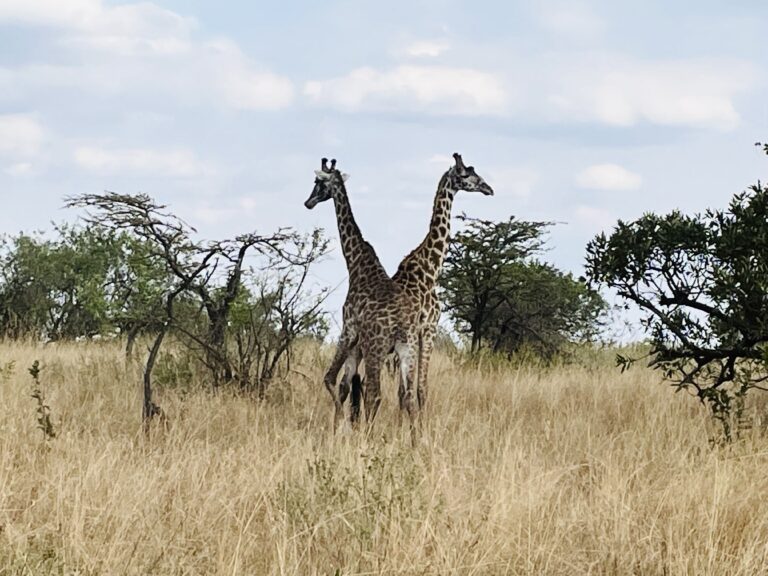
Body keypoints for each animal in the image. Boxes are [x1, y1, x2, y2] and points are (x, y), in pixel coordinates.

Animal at [304, 158, 421, 433]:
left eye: (317, 182)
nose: (308, 202)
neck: (356, 263)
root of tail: (401, 322)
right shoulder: (357, 343)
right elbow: (345, 385)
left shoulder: (348, 329)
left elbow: (330, 379)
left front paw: (339, 427)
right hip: (408, 349)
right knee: (409, 397)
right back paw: (415, 439)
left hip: (376, 348)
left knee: (374, 393)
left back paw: (369, 436)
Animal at [392, 153, 493, 411]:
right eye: (467, 174)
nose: (489, 188)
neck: (430, 269)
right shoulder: (429, 328)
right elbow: (420, 389)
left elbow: (404, 391)